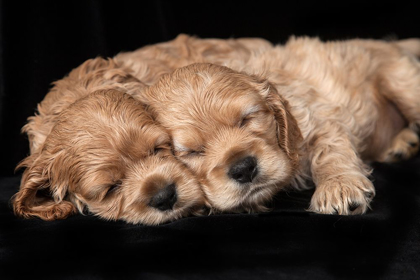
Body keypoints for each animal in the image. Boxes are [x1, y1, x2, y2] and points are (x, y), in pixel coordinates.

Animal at [139, 35, 420, 215]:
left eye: (247, 118)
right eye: (192, 152)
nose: (243, 168)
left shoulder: (318, 117)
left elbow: (329, 150)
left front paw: (338, 186)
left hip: (401, 83)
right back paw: (401, 144)